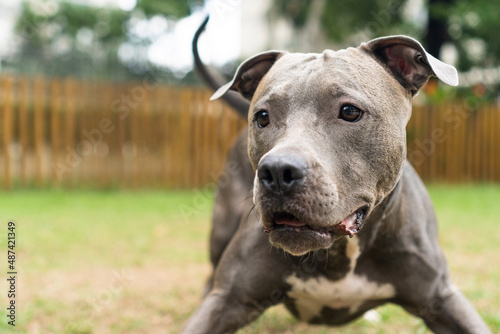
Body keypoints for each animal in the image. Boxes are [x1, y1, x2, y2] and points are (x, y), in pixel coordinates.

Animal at [183, 18, 488, 334]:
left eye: (350, 111)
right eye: (263, 117)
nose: (278, 170)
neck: (340, 252)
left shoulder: (441, 298)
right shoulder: (228, 300)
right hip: (221, 229)